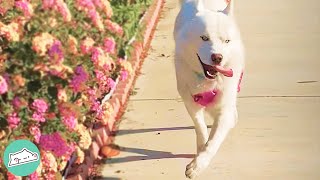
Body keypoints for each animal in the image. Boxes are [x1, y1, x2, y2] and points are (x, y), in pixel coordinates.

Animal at [174, 0, 244, 178]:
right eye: (204, 38)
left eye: (227, 41)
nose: (217, 57)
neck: (208, 81)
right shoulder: (191, 103)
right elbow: (200, 128)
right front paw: (200, 150)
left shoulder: (224, 109)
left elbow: (213, 141)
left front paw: (199, 165)